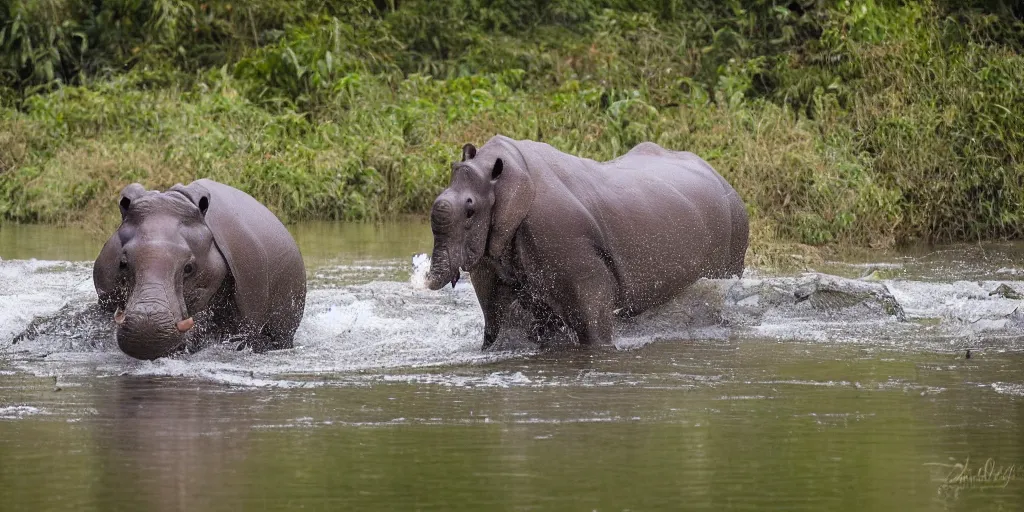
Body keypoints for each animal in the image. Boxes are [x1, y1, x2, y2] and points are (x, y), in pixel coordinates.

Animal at [419, 136, 749, 348]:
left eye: (471, 211)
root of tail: (724, 179)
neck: (504, 184)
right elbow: (498, 323)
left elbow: (591, 327)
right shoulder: (491, 255)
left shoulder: (573, 256)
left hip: (737, 222)